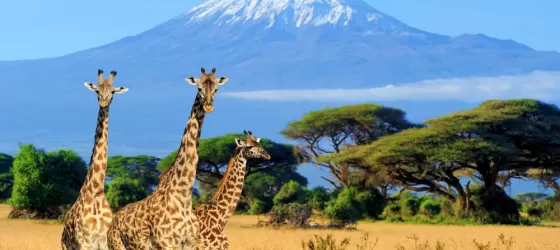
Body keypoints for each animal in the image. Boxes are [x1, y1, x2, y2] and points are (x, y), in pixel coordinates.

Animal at [61, 69, 129, 250]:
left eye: (113, 92)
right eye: (97, 91)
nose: (104, 103)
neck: (97, 191)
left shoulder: (104, 241)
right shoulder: (85, 242)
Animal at [107, 67, 230, 250]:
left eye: (216, 89)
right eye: (199, 88)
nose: (208, 106)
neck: (183, 196)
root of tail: (113, 223)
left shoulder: (190, 243)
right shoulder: (166, 243)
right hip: (116, 245)